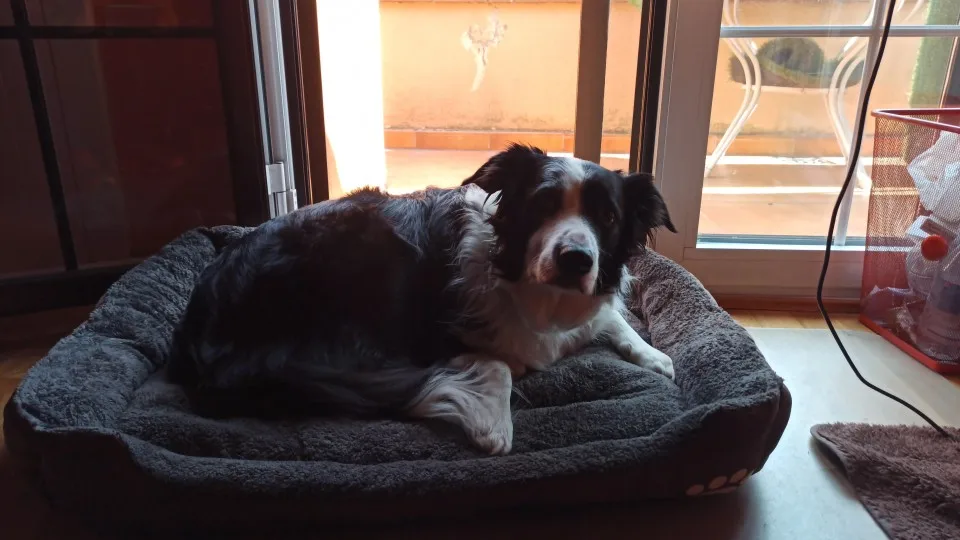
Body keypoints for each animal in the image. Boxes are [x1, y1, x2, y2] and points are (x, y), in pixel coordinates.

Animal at [168, 144, 676, 455]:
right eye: (542, 206)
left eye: (608, 217)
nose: (576, 260)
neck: (535, 293)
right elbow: (497, 363)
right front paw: (493, 422)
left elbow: (610, 317)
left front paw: (652, 354)